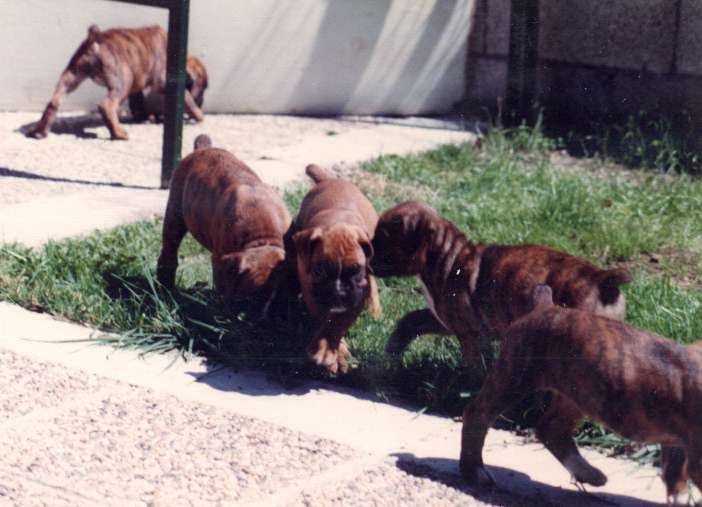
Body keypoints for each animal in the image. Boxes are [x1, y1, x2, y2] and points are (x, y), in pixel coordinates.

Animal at [26, 24, 205, 141]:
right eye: (203, 87)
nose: (202, 101)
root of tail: (95, 39)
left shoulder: (136, 86)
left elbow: (138, 103)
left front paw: (145, 117)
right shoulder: (162, 83)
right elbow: (188, 99)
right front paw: (199, 115)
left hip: (71, 75)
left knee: (54, 101)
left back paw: (39, 131)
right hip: (123, 82)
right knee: (107, 105)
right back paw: (118, 133)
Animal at [157, 135, 292, 318]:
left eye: (276, 299)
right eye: (249, 297)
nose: (260, 319)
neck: (263, 237)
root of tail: (203, 149)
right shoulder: (220, 262)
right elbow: (225, 292)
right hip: (174, 217)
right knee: (168, 253)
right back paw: (166, 288)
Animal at [288, 165, 382, 376]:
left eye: (356, 271)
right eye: (320, 271)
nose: (338, 292)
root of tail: (328, 179)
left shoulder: (358, 294)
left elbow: (339, 322)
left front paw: (331, 350)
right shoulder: (313, 292)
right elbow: (326, 320)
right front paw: (334, 353)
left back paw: (376, 309)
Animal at [372, 201, 636, 366]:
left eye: (382, 239)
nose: (368, 253)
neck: (447, 255)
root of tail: (600, 278)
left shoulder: (471, 334)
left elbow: (477, 367)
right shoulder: (444, 320)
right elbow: (410, 321)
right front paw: (392, 354)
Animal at [462, 288, 702, 506]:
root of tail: (544, 306)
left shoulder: (680, 444)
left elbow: (675, 476)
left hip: (579, 394)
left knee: (551, 429)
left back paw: (588, 473)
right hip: (516, 376)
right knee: (478, 414)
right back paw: (475, 472)